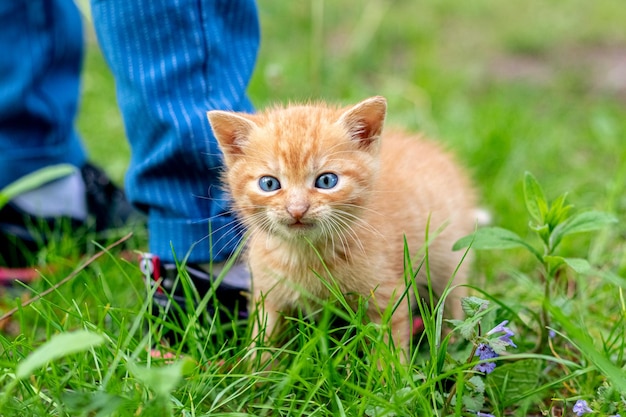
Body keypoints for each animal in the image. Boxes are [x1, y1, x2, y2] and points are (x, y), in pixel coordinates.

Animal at [207, 96, 476, 360]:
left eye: (327, 181)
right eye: (269, 184)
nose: (297, 209)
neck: (306, 256)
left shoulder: (388, 296)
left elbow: (388, 347)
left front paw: (388, 372)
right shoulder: (267, 295)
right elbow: (263, 341)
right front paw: (256, 371)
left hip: (448, 262)